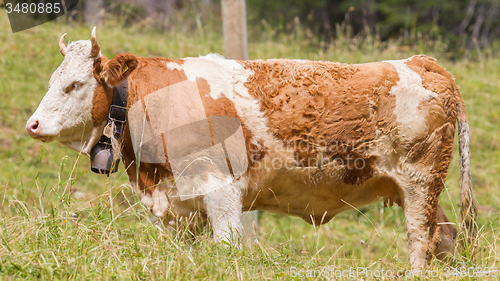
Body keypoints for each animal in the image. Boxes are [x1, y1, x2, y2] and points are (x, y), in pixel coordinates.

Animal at [26, 27, 476, 266]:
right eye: (51, 81)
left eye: (74, 84)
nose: (33, 124)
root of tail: (420, 61)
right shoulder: (177, 206)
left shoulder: (221, 192)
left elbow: (226, 249)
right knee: (444, 235)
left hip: (420, 182)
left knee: (419, 240)